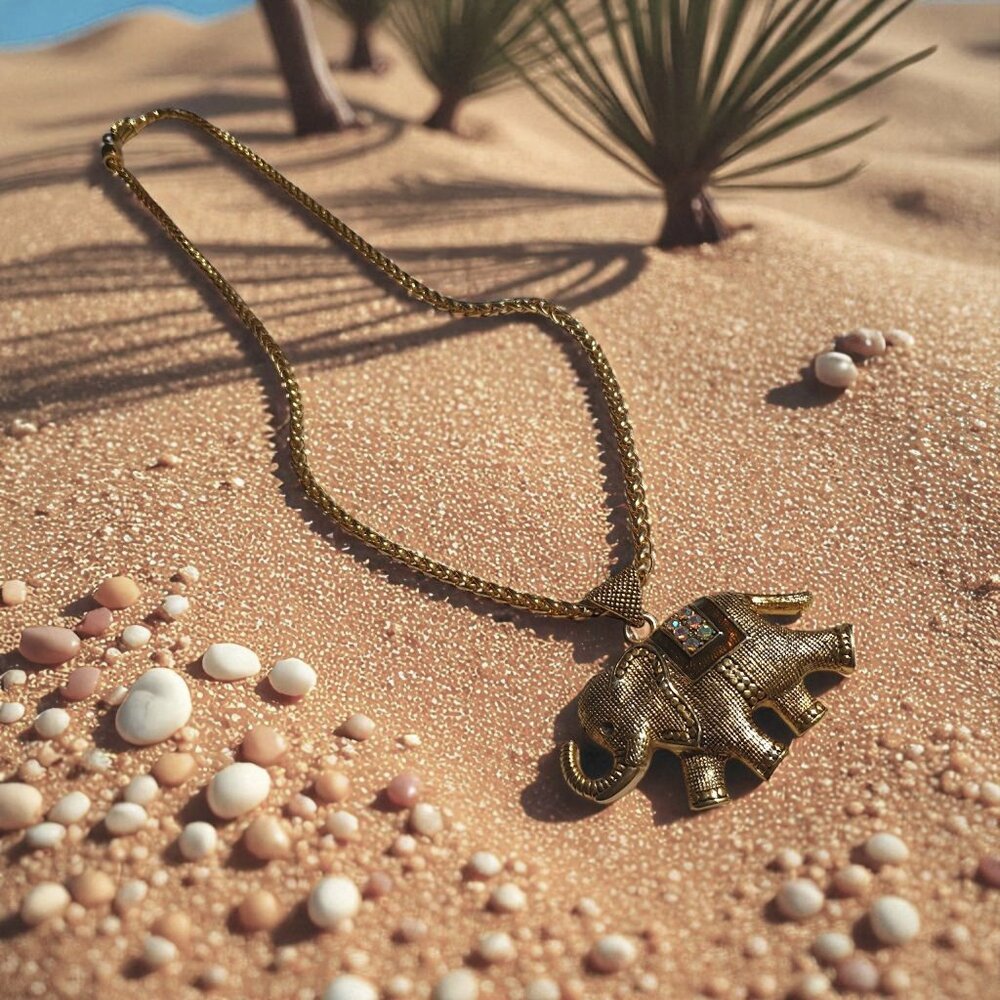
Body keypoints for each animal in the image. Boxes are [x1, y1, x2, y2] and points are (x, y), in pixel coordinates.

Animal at [560, 591, 856, 811]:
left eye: (609, 728)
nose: (570, 744)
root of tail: (741, 596)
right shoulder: (692, 733)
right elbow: (701, 760)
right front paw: (709, 802)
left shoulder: (709, 704)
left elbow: (739, 733)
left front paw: (775, 761)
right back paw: (812, 717)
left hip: (766, 647)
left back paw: (847, 649)